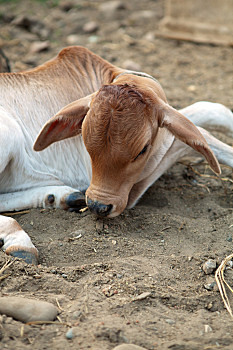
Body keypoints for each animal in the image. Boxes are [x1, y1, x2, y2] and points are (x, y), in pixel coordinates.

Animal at [0, 46, 233, 264]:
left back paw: (60, 197)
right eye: (85, 142)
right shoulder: (134, 188)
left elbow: (212, 110)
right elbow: (201, 134)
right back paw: (19, 240)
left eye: (142, 149)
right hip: (9, 133)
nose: (98, 206)